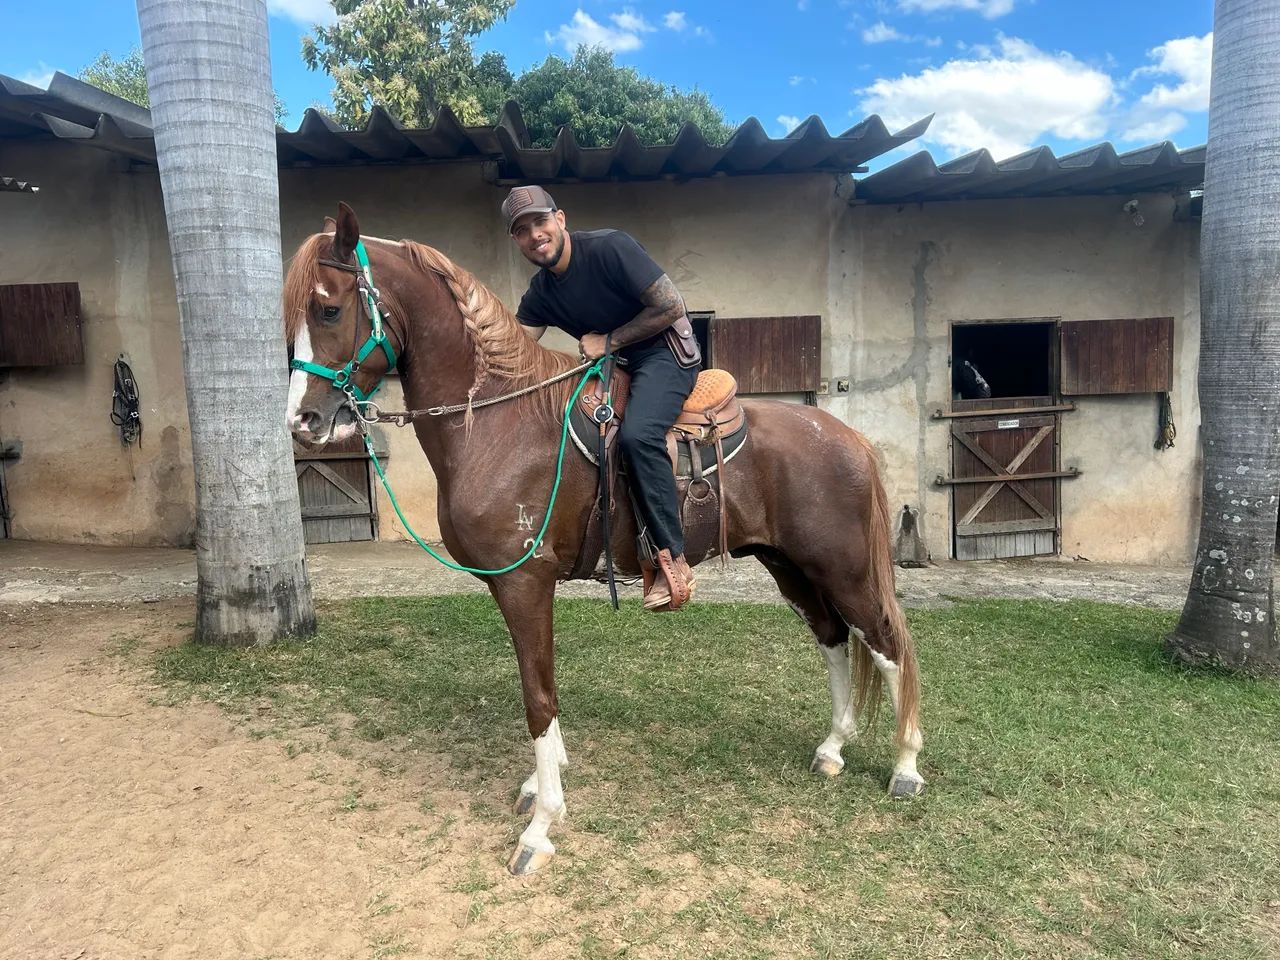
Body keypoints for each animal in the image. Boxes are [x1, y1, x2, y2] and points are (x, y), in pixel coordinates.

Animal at [283, 203, 924, 875]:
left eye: (329, 310)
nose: (302, 421)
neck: (499, 422)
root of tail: (846, 437)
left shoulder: (525, 583)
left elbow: (538, 697)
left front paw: (541, 827)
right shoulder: (517, 588)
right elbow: (542, 687)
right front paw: (542, 784)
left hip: (843, 569)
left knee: (887, 643)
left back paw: (905, 766)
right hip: (790, 566)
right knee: (834, 640)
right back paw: (832, 749)